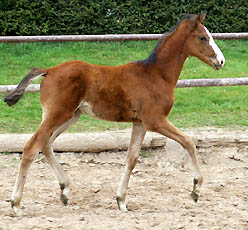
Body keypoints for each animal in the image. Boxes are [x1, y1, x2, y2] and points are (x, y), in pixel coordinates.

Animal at [3, 13, 225, 216]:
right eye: (203, 37)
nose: (221, 61)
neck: (157, 75)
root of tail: (49, 70)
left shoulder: (140, 123)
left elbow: (132, 158)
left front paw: (121, 201)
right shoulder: (155, 120)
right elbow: (188, 141)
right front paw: (196, 189)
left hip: (70, 116)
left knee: (46, 144)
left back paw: (65, 191)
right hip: (57, 115)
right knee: (31, 147)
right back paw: (16, 203)